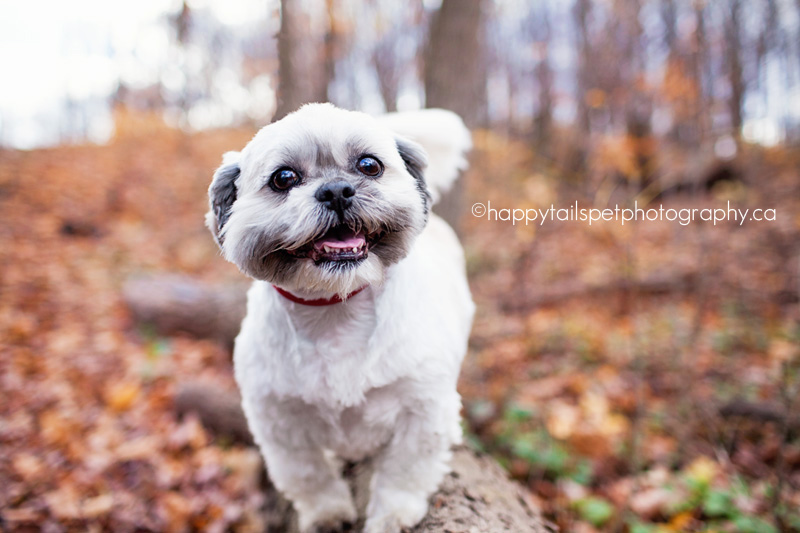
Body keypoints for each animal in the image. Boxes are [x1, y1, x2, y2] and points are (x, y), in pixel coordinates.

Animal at [206, 104, 476, 532]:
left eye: (369, 165)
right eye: (284, 178)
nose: (336, 190)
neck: (335, 311)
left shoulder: (424, 409)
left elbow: (404, 470)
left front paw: (392, 515)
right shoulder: (278, 423)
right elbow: (308, 474)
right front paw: (327, 513)